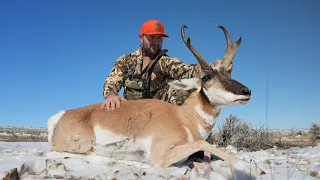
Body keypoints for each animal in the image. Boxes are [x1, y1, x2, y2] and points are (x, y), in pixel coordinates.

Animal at [47, 24, 262, 172]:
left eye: (229, 72)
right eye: (206, 77)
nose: (247, 92)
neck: (183, 118)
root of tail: (61, 115)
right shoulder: (161, 157)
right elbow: (203, 143)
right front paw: (250, 166)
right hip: (81, 144)